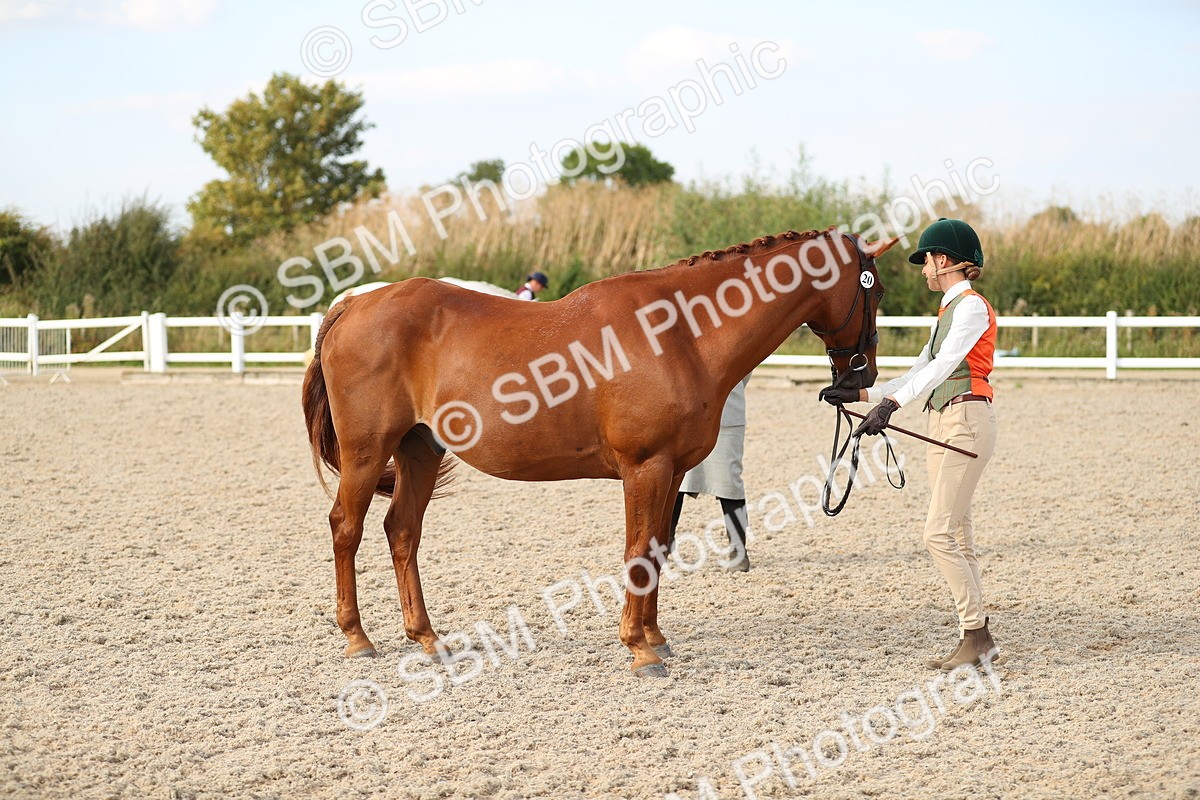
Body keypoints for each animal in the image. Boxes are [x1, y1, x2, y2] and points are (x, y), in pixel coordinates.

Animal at [302, 227, 899, 677]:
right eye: (876, 292)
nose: (862, 377)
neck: (680, 333)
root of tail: (352, 305)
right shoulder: (645, 467)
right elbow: (637, 551)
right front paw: (638, 649)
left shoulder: (671, 471)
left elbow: (657, 548)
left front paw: (655, 636)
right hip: (367, 453)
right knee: (346, 528)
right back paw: (358, 638)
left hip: (419, 451)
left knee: (402, 531)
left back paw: (427, 638)